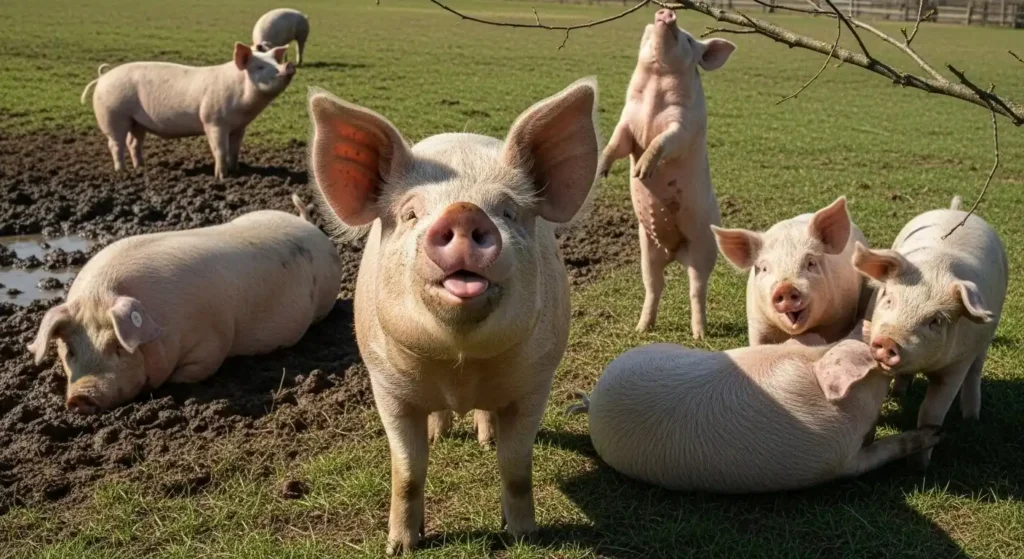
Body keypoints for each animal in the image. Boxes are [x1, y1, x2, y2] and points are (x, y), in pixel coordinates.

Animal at [80, 43, 295, 180]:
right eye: (259, 67)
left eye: (276, 62)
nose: (288, 65)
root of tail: (103, 77)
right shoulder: (213, 121)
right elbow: (220, 149)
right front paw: (222, 177)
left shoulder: (239, 127)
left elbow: (235, 150)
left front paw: (236, 171)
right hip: (113, 115)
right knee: (115, 144)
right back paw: (121, 173)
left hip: (137, 121)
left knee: (133, 143)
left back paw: (141, 168)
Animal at [307, 77, 599, 553]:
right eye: (410, 213)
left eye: (508, 211)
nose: (463, 211)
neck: (460, 366)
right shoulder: (387, 386)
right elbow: (407, 470)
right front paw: (400, 547)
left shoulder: (535, 382)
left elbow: (516, 465)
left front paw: (524, 536)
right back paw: (440, 434)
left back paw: (484, 438)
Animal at [597, 9, 736, 339]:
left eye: (688, 39)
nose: (667, 13)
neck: (654, 96)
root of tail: (675, 253)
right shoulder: (626, 122)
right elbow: (615, 143)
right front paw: (603, 170)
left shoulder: (683, 126)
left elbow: (663, 141)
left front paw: (641, 170)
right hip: (648, 249)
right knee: (655, 286)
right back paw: (641, 329)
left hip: (703, 247)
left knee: (696, 289)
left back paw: (699, 334)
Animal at [853, 195, 1007, 470]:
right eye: (888, 299)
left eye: (935, 321)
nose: (888, 341)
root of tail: (955, 210)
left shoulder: (957, 365)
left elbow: (931, 413)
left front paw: (920, 467)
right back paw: (898, 393)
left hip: (985, 339)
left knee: (975, 372)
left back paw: (971, 418)